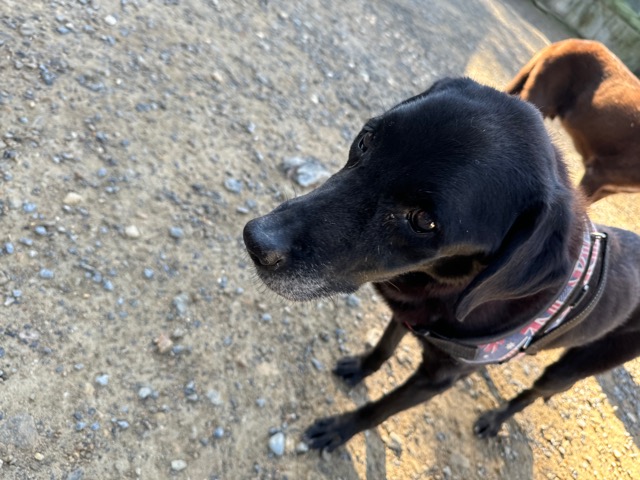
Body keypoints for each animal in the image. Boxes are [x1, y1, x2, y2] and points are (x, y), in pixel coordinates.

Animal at [243, 77, 640, 452]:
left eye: (423, 221)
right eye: (366, 141)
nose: (256, 241)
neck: (444, 287)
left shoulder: (436, 380)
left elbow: (380, 410)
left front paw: (341, 429)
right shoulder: (408, 315)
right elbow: (384, 347)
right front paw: (360, 367)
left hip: (573, 367)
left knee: (531, 394)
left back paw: (495, 420)